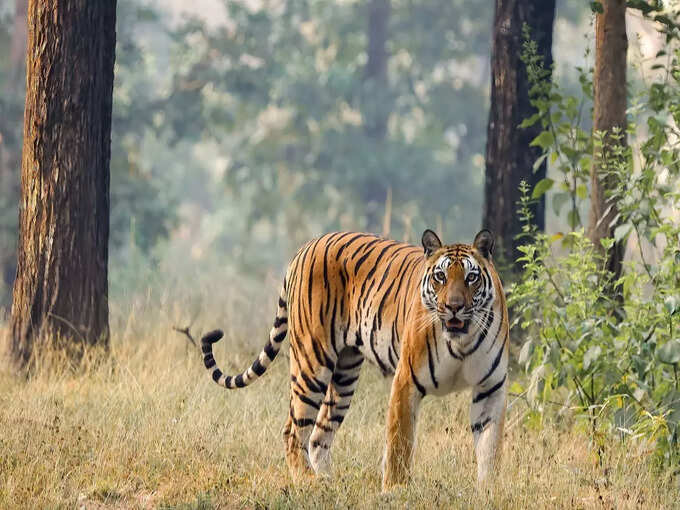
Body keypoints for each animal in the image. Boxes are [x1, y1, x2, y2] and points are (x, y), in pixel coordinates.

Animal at [202, 229, 510, 488]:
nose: (454, 307)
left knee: (319, 435)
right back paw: (307, 482)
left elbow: (489, 448)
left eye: (471, 278)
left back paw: (327, 481)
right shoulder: (406, 381)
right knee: (293, 431)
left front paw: (488, 492)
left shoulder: (490, 388)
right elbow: (400, 442)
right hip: (311, 363)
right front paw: (396, 490)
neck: (461, 341)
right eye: (441, 277)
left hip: (345, 374)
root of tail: (305, 247)